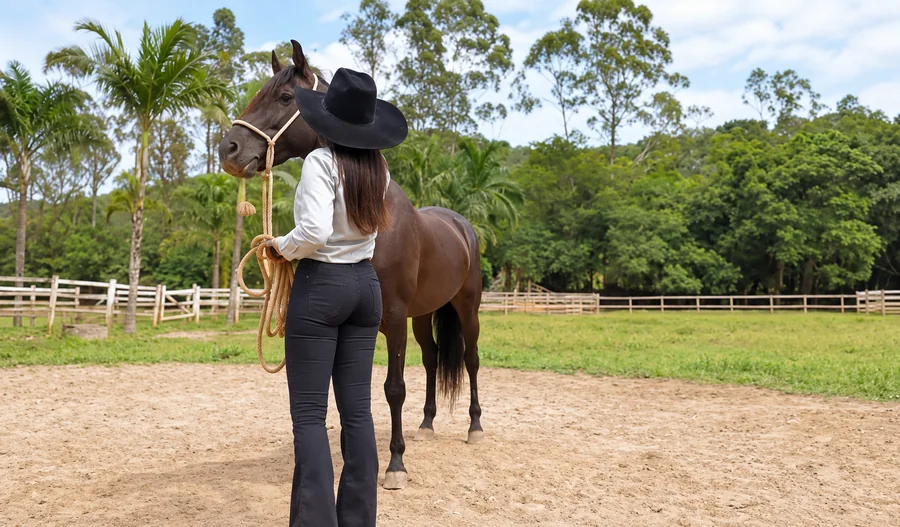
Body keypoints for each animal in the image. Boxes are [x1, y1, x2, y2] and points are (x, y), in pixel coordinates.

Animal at [218, 41, 484, 490]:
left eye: (285, 98)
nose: (228, 150)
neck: (375, 210)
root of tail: (462, 227)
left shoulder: (392, 319)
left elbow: (394, 388)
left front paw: (395, 465)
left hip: (466, 308)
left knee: (470, 360)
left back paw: (475, 428)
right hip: (423, 314)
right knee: (432, 359)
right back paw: (427, 425)